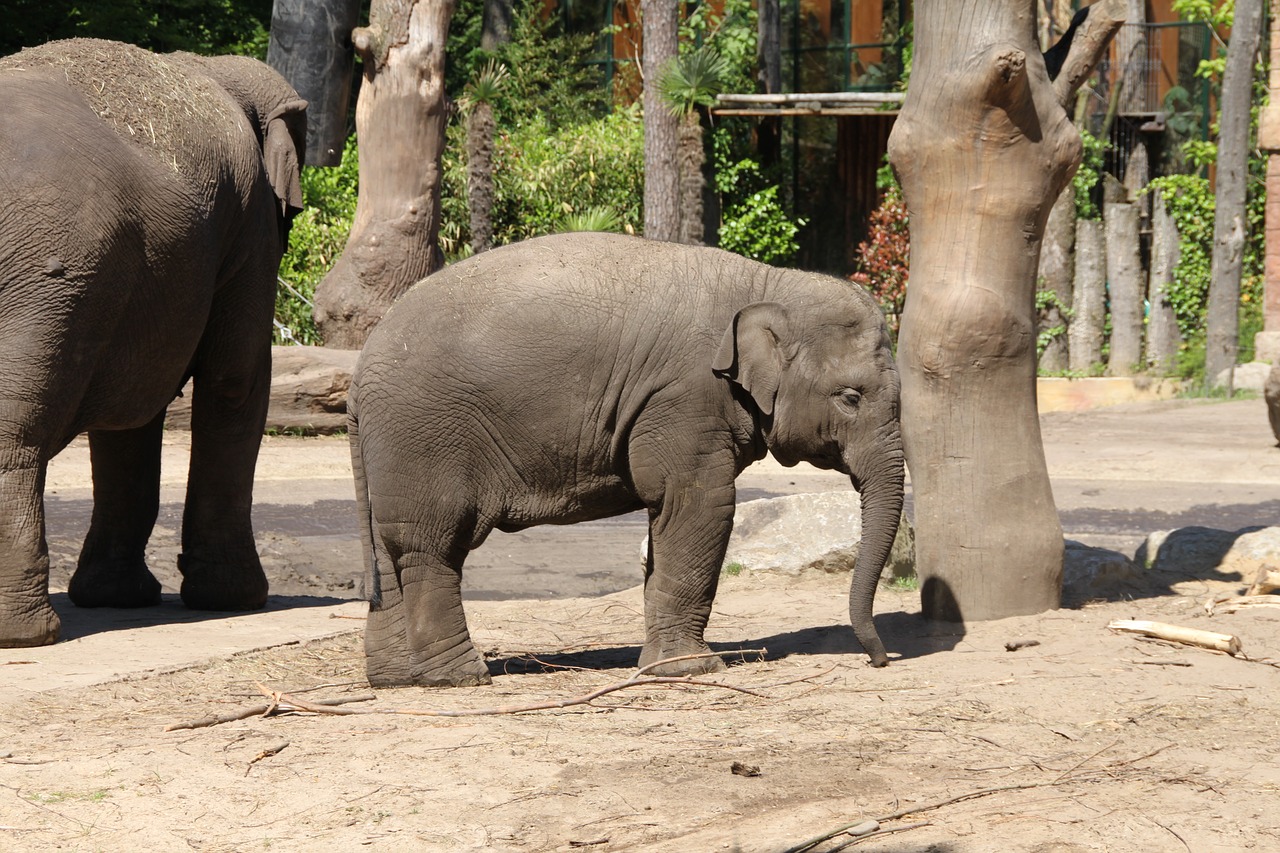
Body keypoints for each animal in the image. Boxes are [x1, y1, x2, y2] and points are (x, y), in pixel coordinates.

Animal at [0, 36, 307, 640]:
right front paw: (237, 601)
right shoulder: (251, 223)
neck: (211, 65)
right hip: (45, 279)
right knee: (15, 433)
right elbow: (235, 380)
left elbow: (129, 416)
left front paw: (114, 599)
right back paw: (26, 634)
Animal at [350, 233, 906, 686]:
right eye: (850, 397)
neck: (767, 281)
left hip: (392, 450)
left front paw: (663, 665)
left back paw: (395, 679)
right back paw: (459, 677)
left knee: (388, 548)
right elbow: (699, 504)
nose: (879, 660)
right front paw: (694, 669)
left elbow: (669, 517)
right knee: (431, 546)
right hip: (422, 436)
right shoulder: (685, 399)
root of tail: (358, 371)